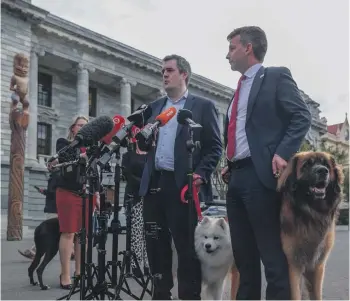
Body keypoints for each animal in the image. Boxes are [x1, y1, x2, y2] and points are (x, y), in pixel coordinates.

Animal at [276, 151, 344, 298]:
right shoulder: (294, 264)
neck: (312, 214)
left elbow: (317, 295)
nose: (323, 171)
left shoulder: (318, 265)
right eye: (306, 165)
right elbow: (296, 294)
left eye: (326, 165)